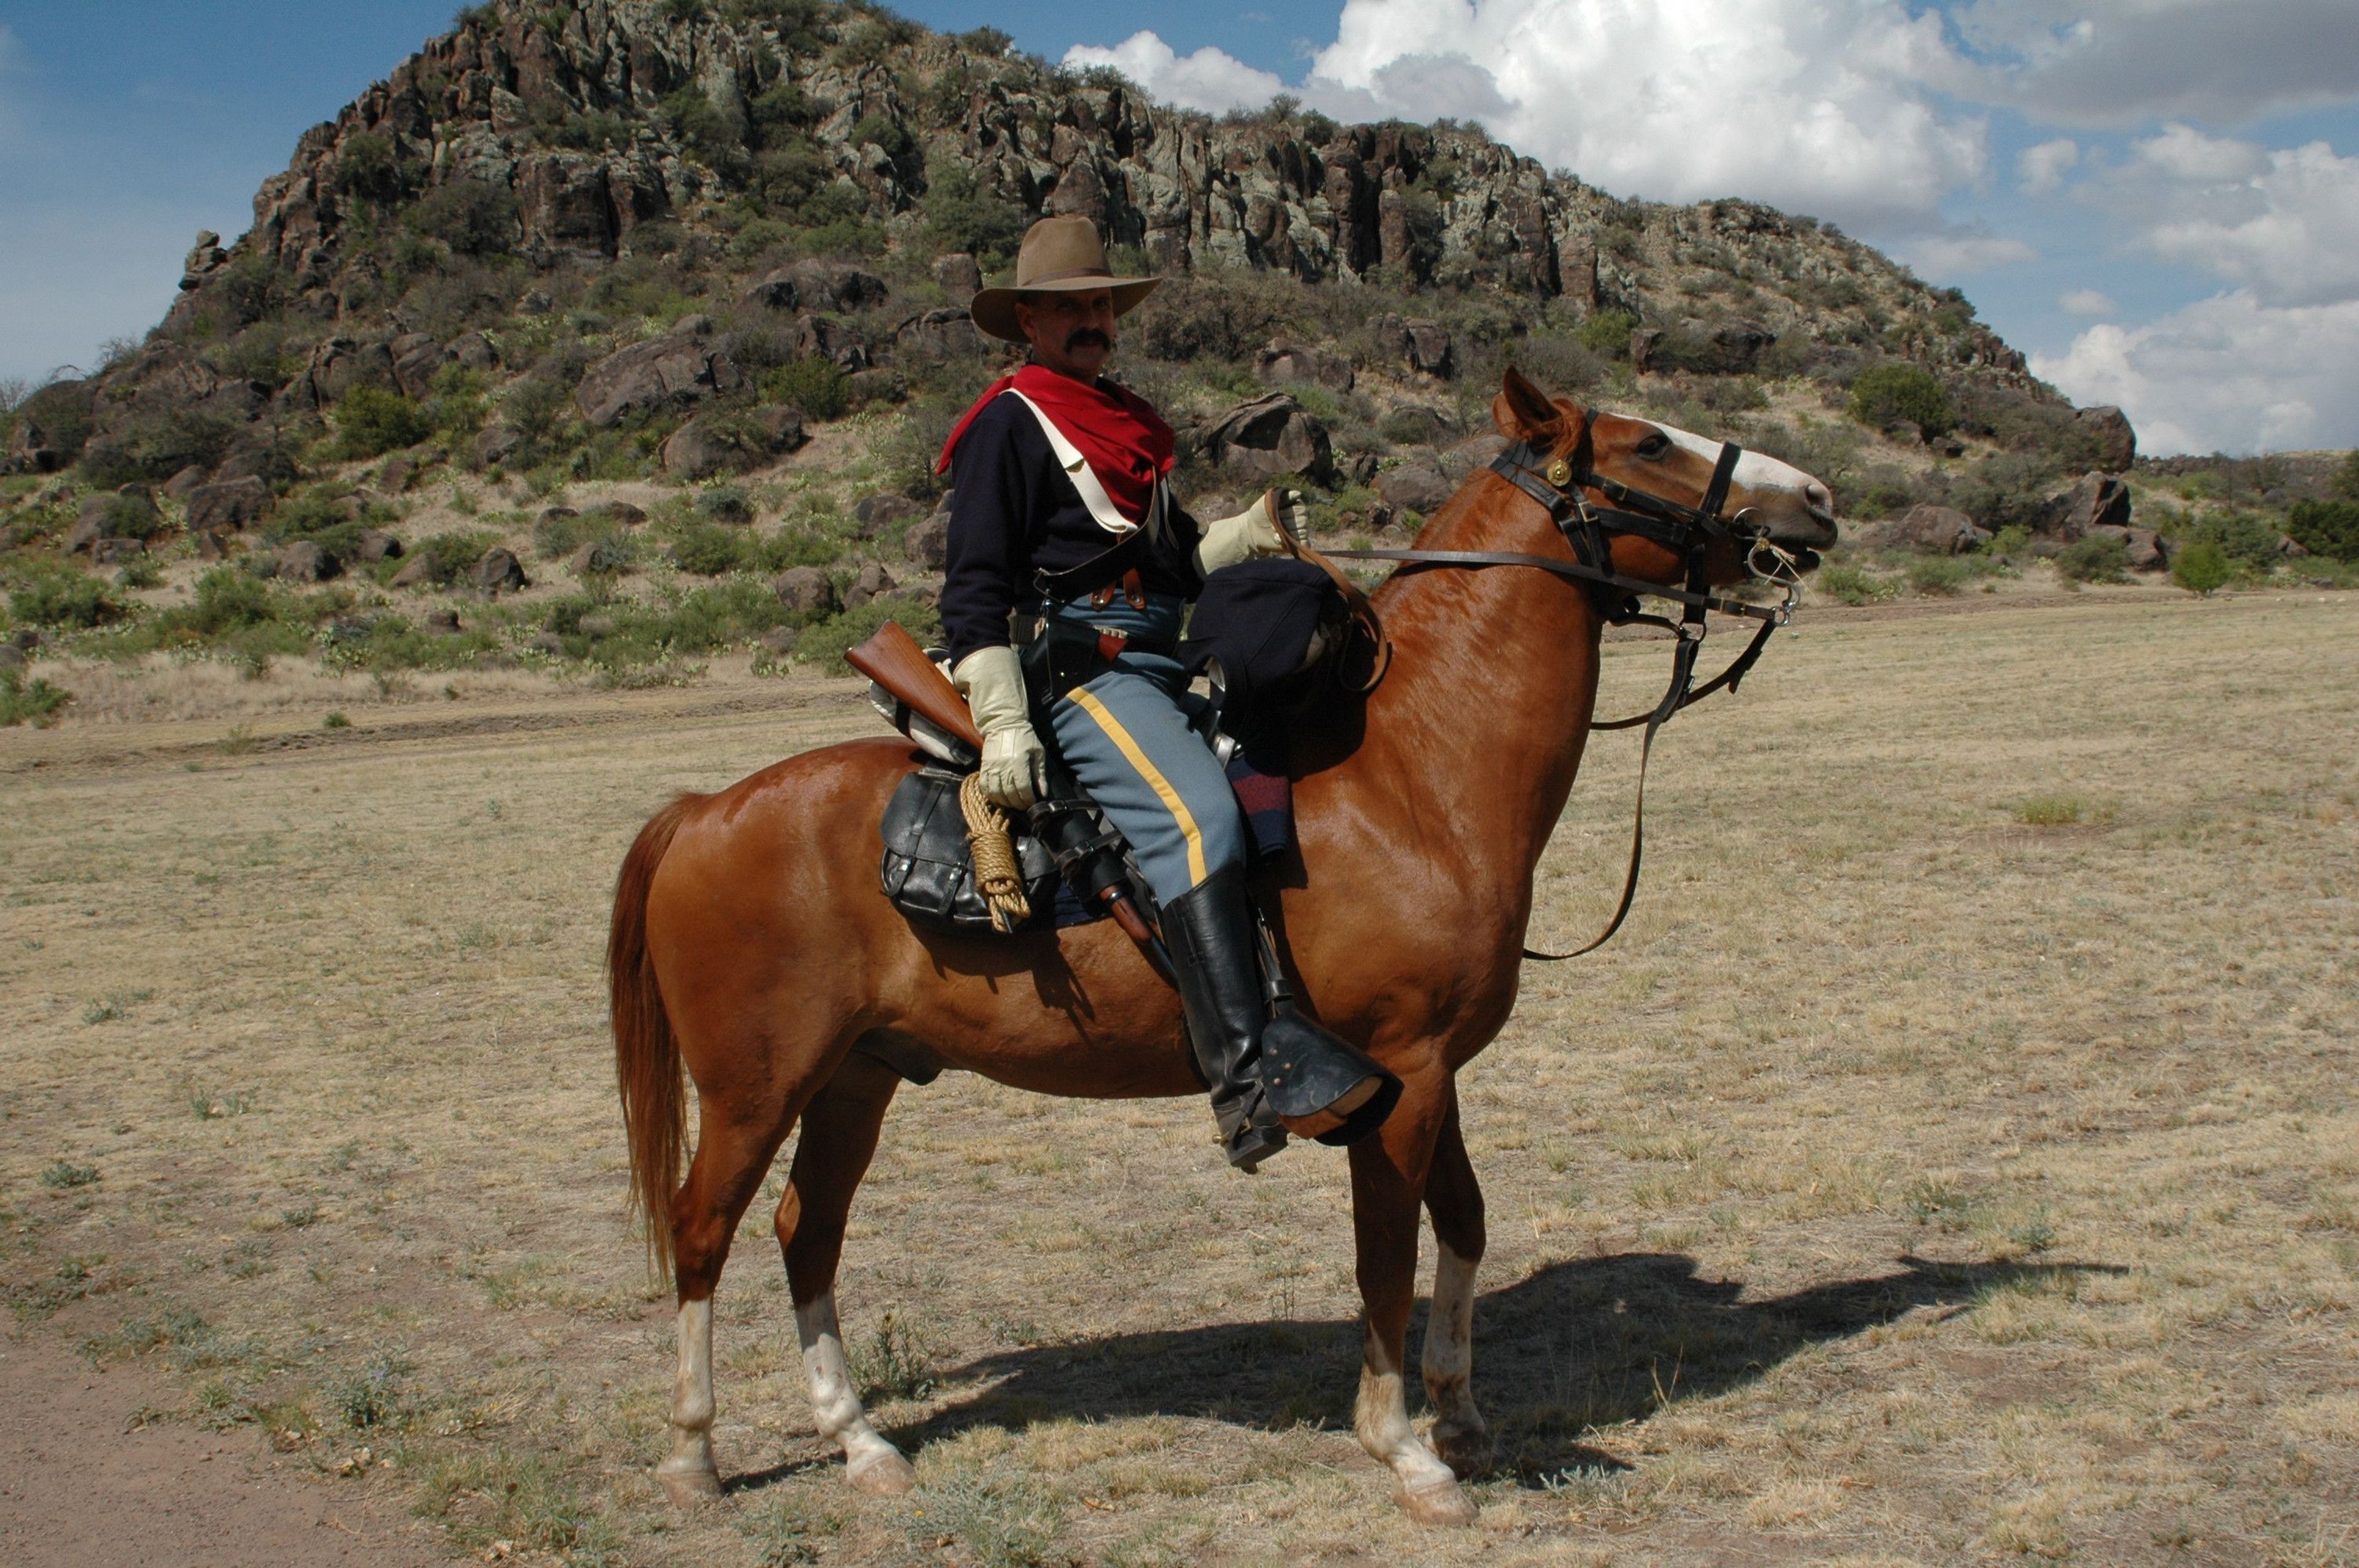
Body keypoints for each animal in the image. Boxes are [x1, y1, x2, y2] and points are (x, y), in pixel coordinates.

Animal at [613, 367, 1840, 1518]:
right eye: (1651, 444)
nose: (1818, 500)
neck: (1416, 767)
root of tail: (704, 810)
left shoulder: (1435, 1067)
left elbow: (1464, 1223)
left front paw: (1461, 1415)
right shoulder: (1399, 1071)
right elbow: (1387, 1256)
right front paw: (1405, 1450)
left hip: (855, 1078)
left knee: (805, 1230)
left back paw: (861, 1440)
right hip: (753, 1087)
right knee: (702, 1228)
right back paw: (690, 1454)